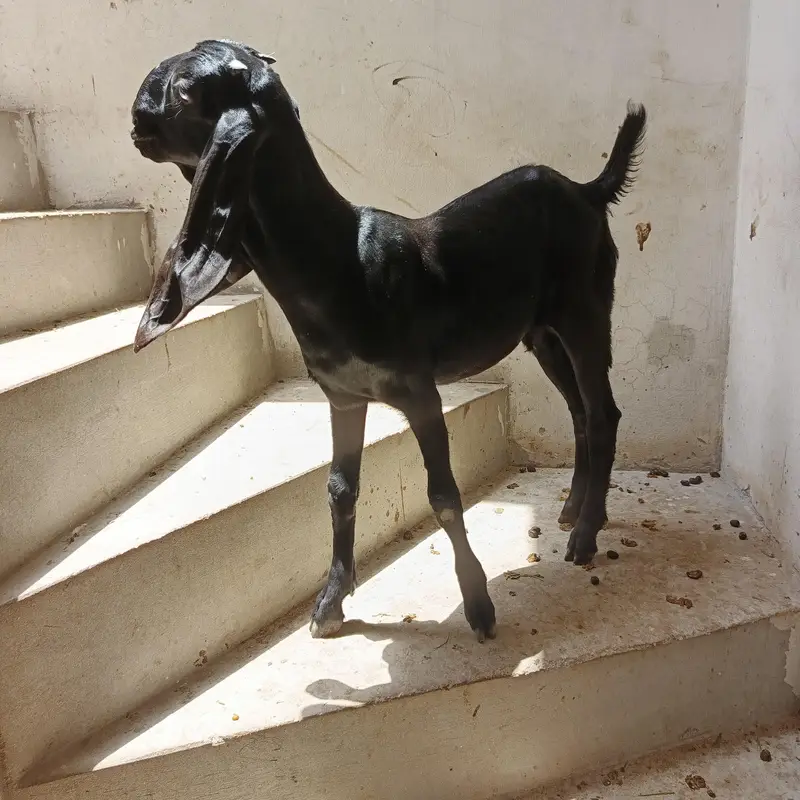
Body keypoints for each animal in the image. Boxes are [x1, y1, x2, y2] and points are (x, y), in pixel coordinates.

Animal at [130, 39, 646, 643]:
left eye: (188, 87)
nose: (137, 114)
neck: (338, 261)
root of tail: (588, 192)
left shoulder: (419, 393)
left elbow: (444, 498)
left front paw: (479, 606)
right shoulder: (343, 396)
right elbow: (339, 489)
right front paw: (331, 602)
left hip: (584, 312)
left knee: (603, 411)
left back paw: (584, 536)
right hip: (542, 334)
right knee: (581, 411)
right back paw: (575, 511)